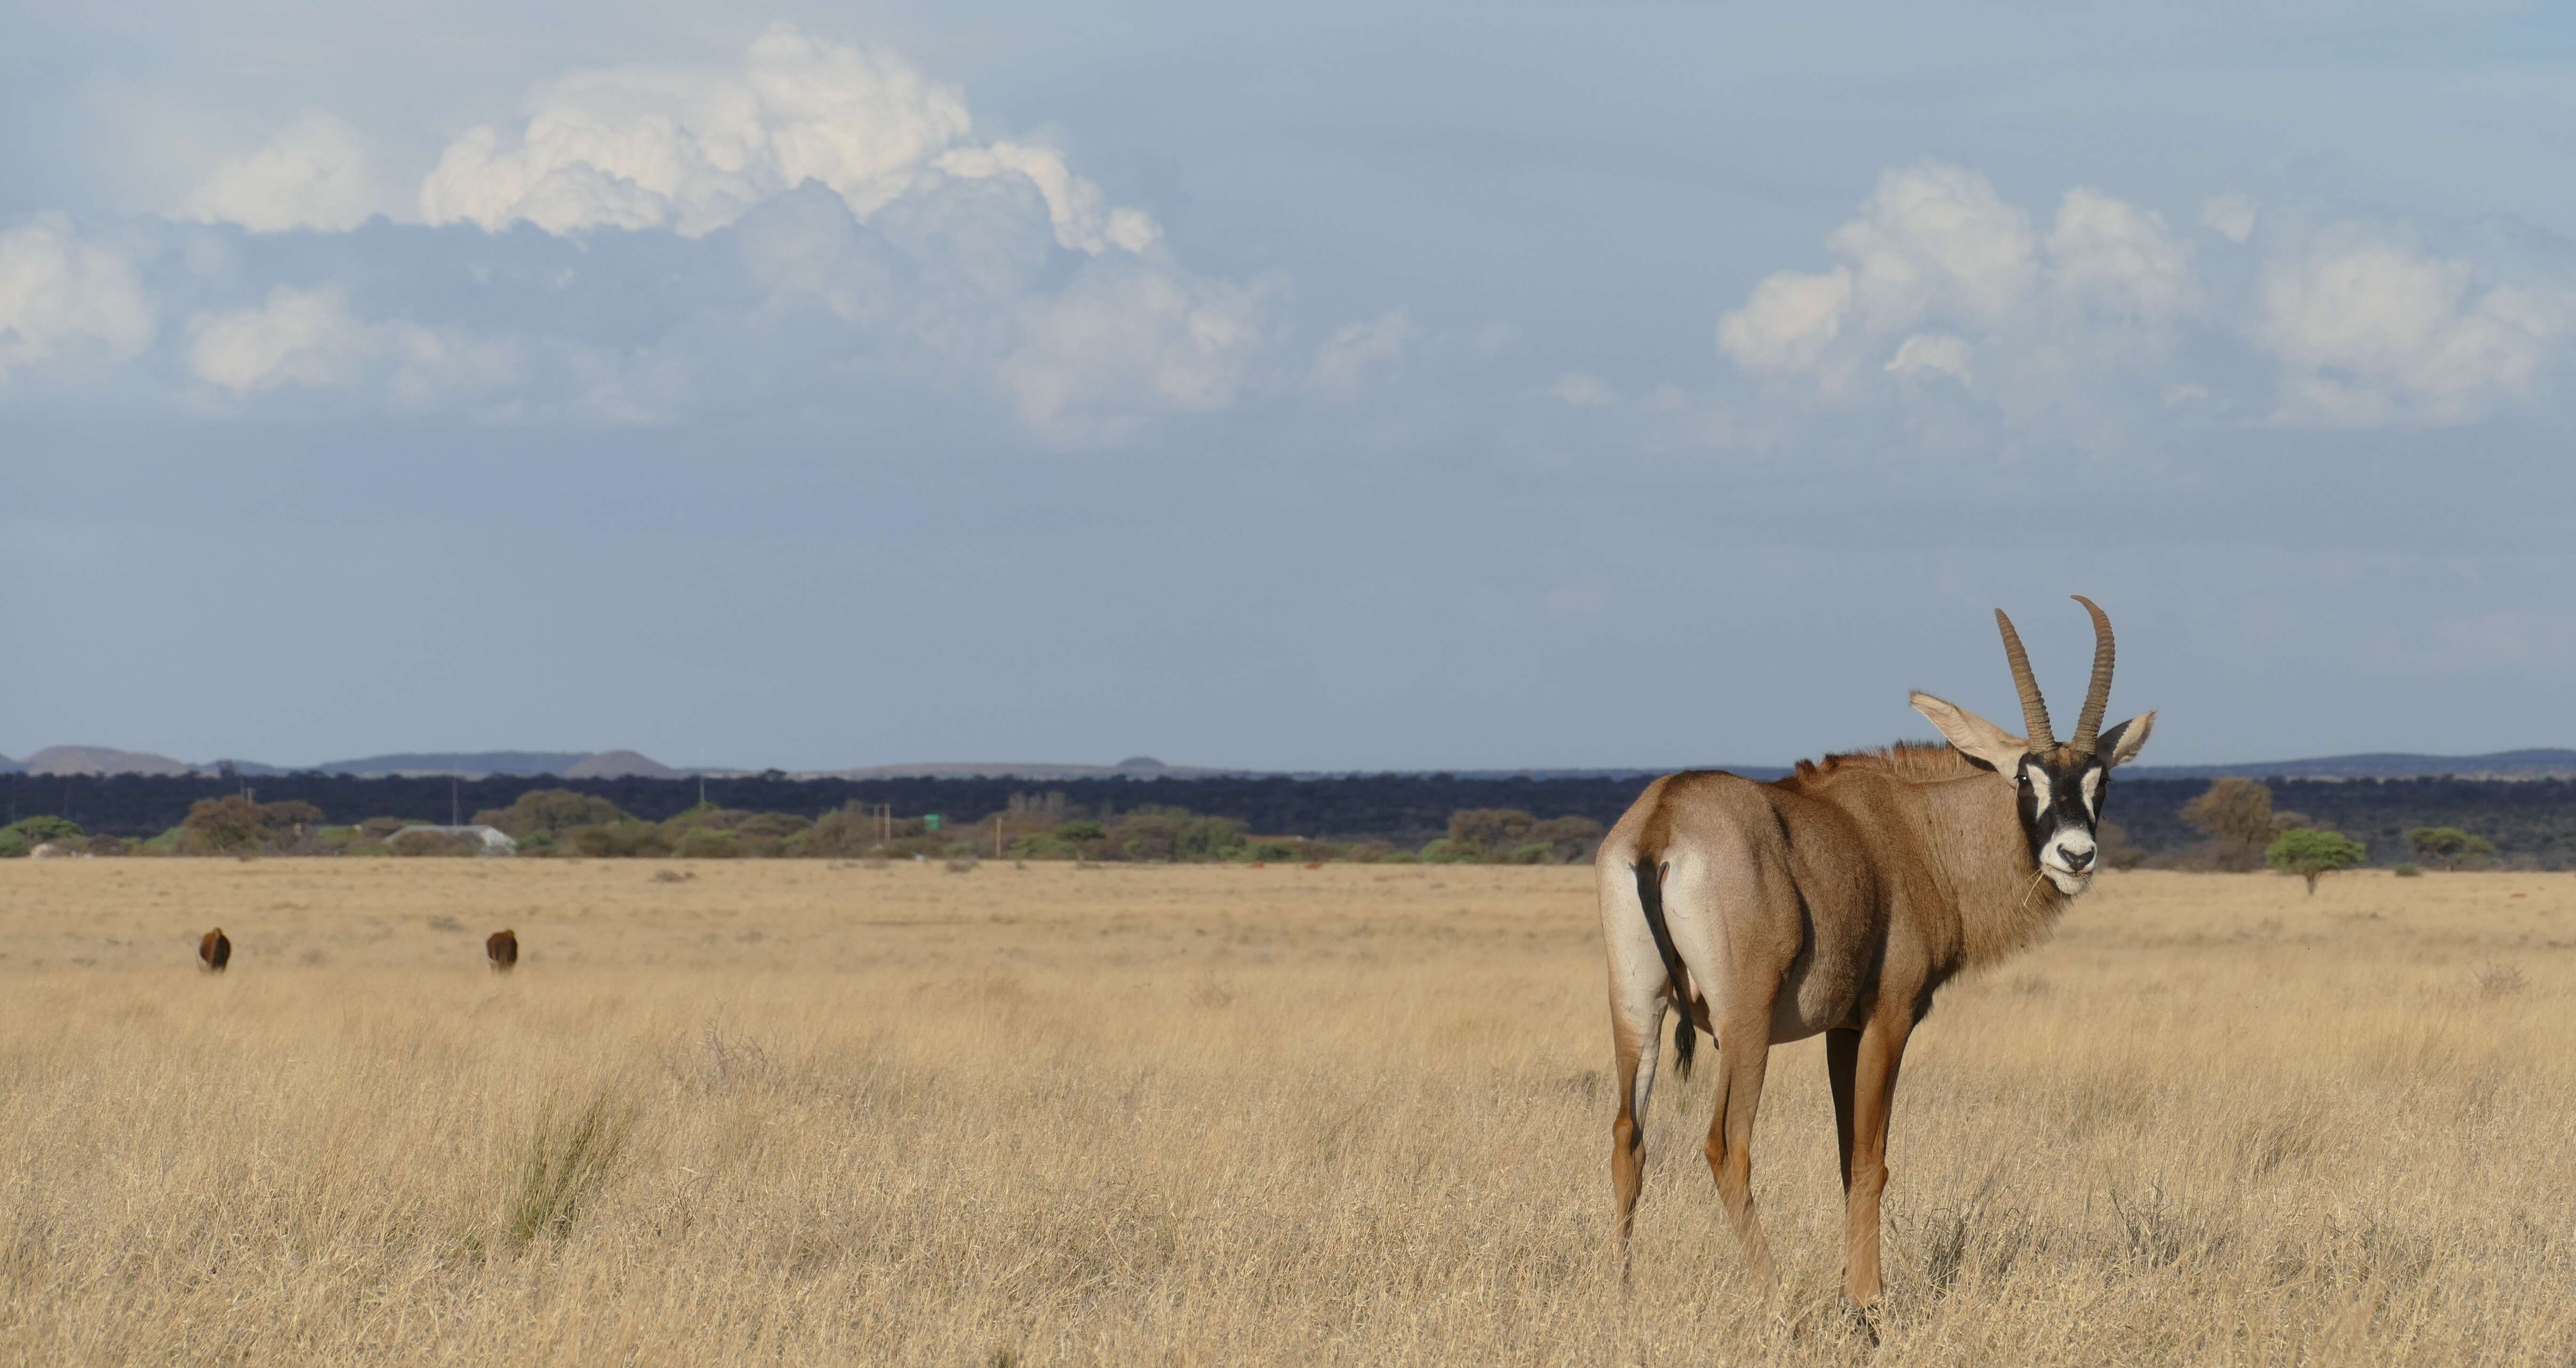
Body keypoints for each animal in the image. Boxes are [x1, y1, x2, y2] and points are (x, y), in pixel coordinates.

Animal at [1597, 598, 2143, 1309]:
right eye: (2028, 776)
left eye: (2102, 780)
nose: (2075, 855)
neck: (1911, 828)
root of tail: (1662, 819)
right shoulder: (1891, 1017)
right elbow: (1870, 1158)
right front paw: (1866, 1300)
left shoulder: (1842, 1030)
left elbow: (1845, 1155)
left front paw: (1853, 1288)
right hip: (1745, 1024)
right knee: (1726, 1146)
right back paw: (1780, 1302)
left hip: (1637, 1006)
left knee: (1627, 1137)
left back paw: (1623, 1293)